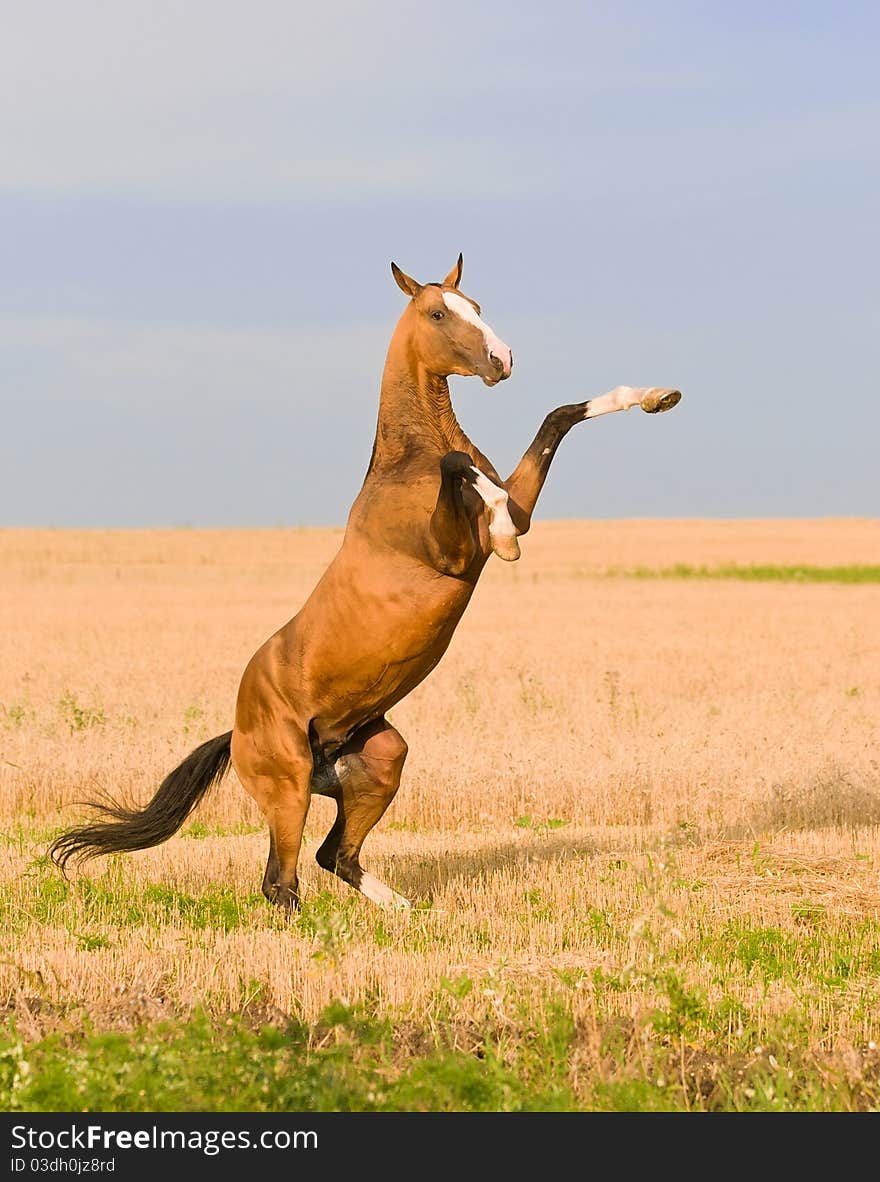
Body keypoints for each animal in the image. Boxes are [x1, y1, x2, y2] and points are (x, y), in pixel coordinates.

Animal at [51, 254, 685, 907]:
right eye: (437, 314)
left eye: (476, 306)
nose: (502, 360)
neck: (408, 461)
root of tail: (237, 729)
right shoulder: (450, 552)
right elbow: (467, 473)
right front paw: (506, 535)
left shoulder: (510, 507)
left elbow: (555, 419)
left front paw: (656, 396)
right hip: (289, 787)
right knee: (281, 880)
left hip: (378, 762)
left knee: (335, 855)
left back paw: (407, 912)